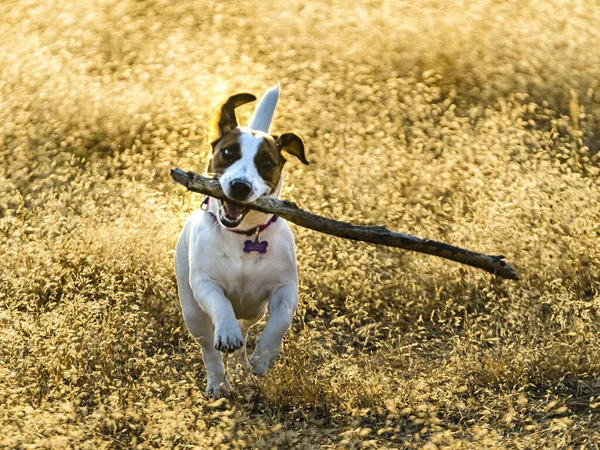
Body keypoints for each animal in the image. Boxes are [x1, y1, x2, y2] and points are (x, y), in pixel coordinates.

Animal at [172, 84, 304, 398]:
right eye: (228, 152)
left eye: (266, 163)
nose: (240, 186)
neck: (244, 237)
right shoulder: (205, 284)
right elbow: (221, 305)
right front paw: (227, 332)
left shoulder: (285, 288)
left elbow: (280, 321)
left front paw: (263, 358)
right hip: (193, 313)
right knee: (209, 348)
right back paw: (218, 384)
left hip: (254, 310)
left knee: (245, 332)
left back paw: (240, 366)